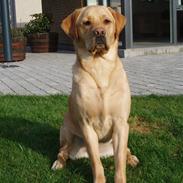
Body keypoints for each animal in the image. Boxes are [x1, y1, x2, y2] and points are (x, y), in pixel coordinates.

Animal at [51, 5, 139, 182]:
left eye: (106, 21)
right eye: (86, 23)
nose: (99, 32)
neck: (100, 67)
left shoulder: (120, 123)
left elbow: (119, 162)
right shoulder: (87, 126)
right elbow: (95, 161)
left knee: (125, 151)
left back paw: (131, 158)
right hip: (66, 132)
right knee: (62, 152)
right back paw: (58, 163)